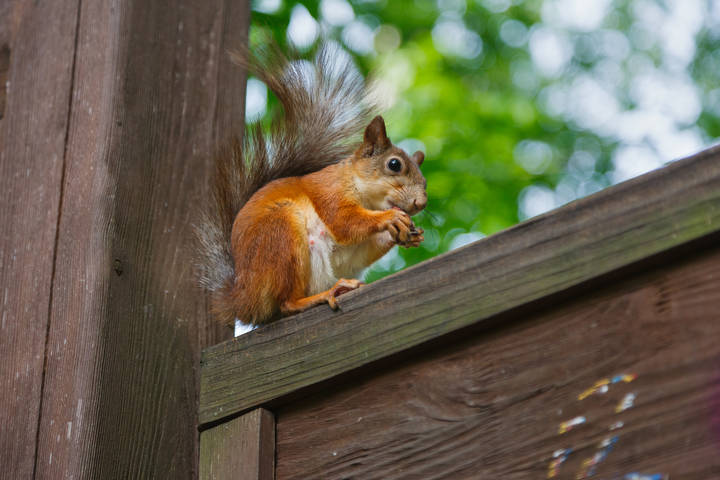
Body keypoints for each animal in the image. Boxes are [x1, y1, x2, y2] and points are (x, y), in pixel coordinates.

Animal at [196, 44, 427, 327]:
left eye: (425, 182)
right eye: (394, 164)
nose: (421, 203)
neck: (365, 195)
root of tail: (244, 299)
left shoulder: (357, 251)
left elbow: (364, 248)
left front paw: (408, 234)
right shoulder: (328, 191)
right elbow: (344, 221)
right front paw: (391, 218)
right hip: (280, 234)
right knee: (287, 304)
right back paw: (324, 295)